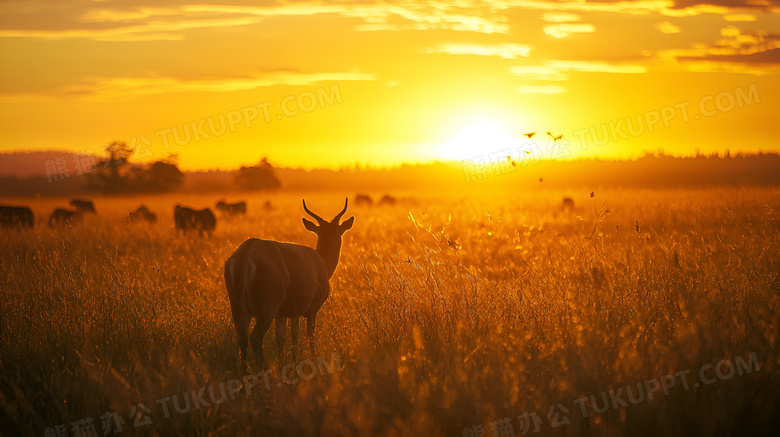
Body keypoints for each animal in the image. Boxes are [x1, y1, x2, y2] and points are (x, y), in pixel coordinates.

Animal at [224, 199, 354, 370]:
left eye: (336, 230)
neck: (324, 264)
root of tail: (242, 260)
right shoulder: (312, 306)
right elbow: (309, 336)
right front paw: (314, 364)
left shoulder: (287, 311)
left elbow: (286, 338)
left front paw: (287, 364)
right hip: (267, 304)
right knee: (255, 337)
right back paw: (264, 367)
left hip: (238, 307)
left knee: (242, 337)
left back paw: (246, 371)